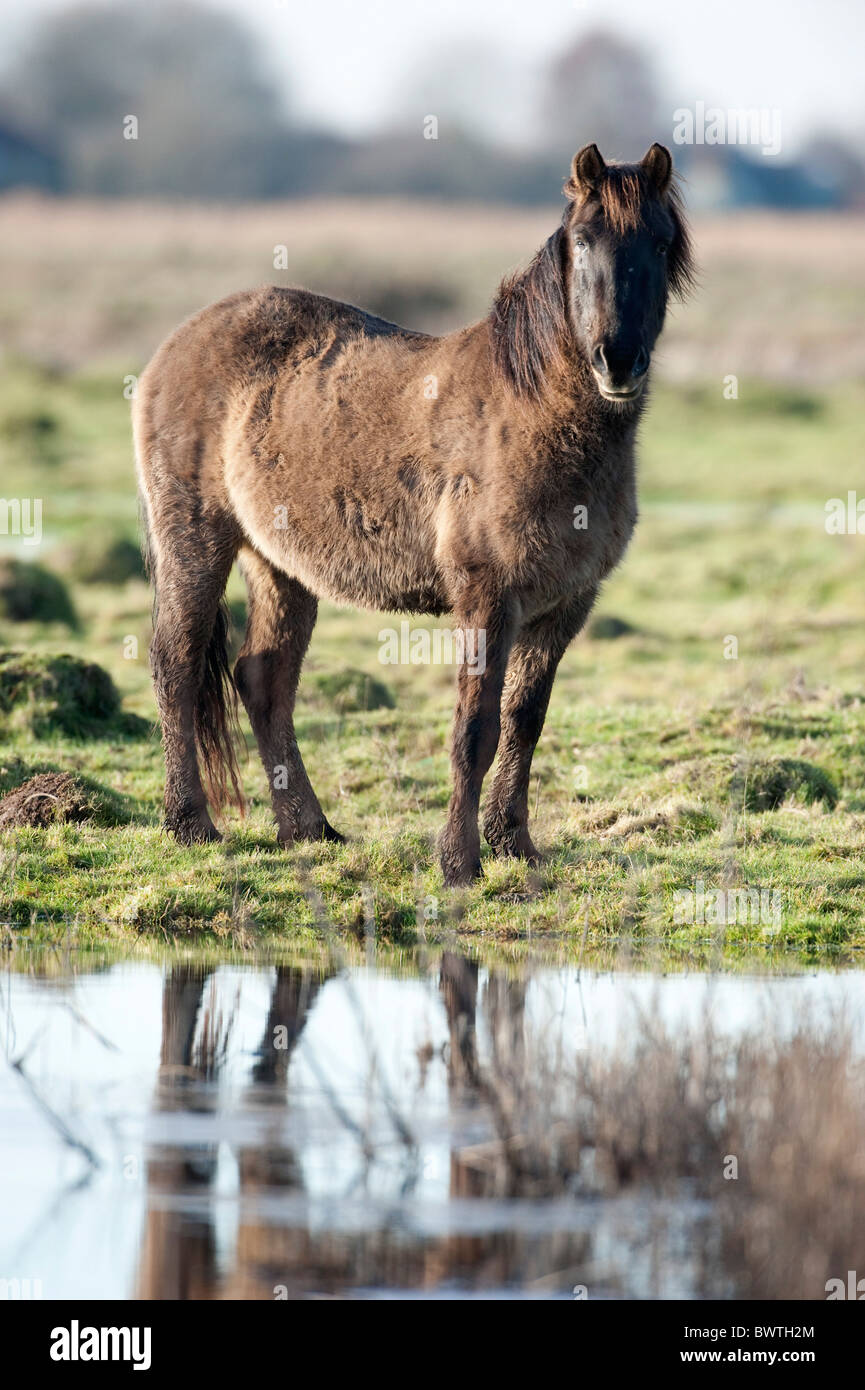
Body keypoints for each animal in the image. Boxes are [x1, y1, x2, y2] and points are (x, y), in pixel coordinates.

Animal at [135, 142, 694, 887]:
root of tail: (176, 342)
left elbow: (525, 721)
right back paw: (191, 824)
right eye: (582, 241)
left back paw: (308, 829)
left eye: (658, 243)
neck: (535, 413)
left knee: (263, 679)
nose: (617, 360)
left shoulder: (562, 607)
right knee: (177, 662)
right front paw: (460, 862)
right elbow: (475, 729)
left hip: (279, 564)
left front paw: (514, 844)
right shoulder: (488, 597)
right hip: (194, 539)